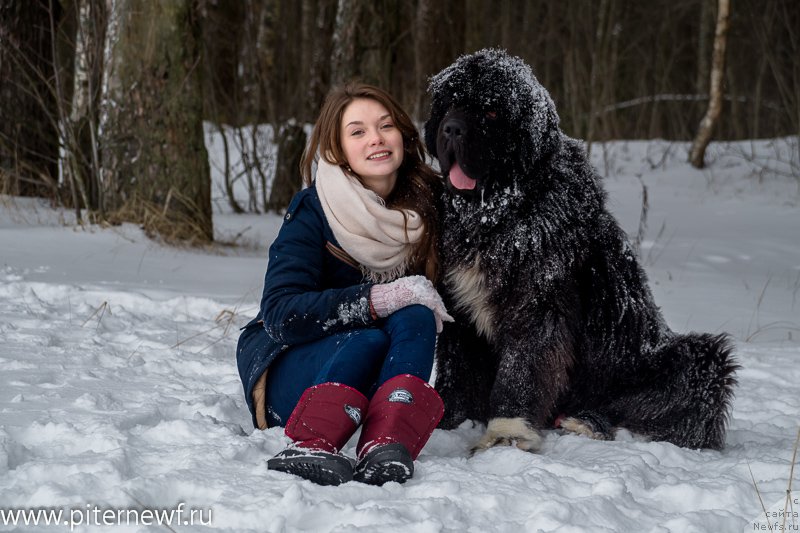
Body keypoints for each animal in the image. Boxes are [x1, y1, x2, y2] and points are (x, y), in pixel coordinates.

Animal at [424, 48, 736, 454]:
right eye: (449, 105)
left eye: (491, 112)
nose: (451, 129)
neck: (499, 212)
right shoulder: (458, 304)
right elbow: (456, 369)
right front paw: (446, 421)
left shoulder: (538, 302)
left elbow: (521, 367)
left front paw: (506, 433)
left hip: (695, 361)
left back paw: (589, 422)